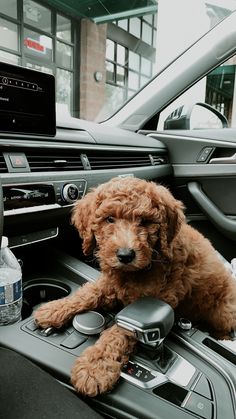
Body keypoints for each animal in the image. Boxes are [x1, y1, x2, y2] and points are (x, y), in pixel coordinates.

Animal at [34, 176, 236, 398]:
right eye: (109, 219)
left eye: (145, 222)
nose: (125, 255)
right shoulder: (111, 282)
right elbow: (89, 292)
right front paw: (54, 309)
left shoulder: (151, 304)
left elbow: (118, 333)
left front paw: (95, 367)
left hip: (224, 312)